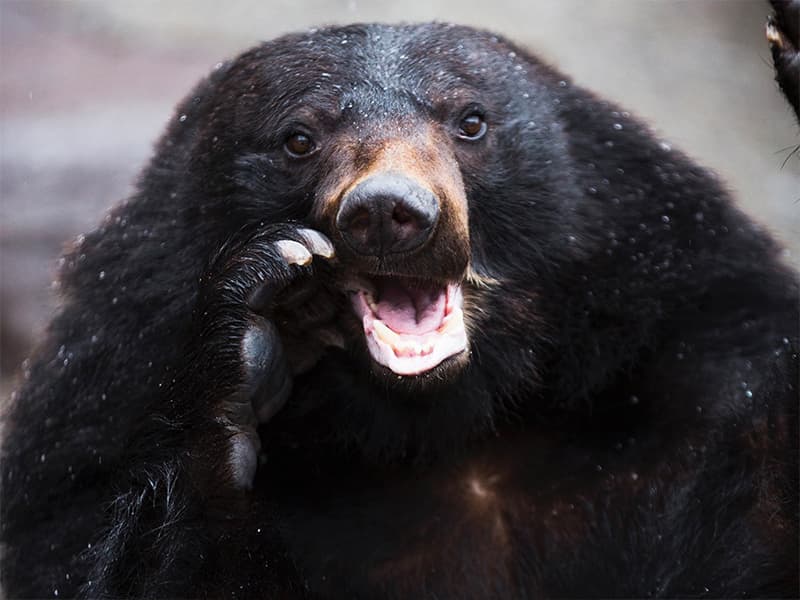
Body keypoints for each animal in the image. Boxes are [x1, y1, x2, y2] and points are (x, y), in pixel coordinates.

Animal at [1, 19, 800, 600]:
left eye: (471, 121)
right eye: (298, 137)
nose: (388, 211)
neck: (441, 424)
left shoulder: (689, 376)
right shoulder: (97, 416)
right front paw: (249, 338)